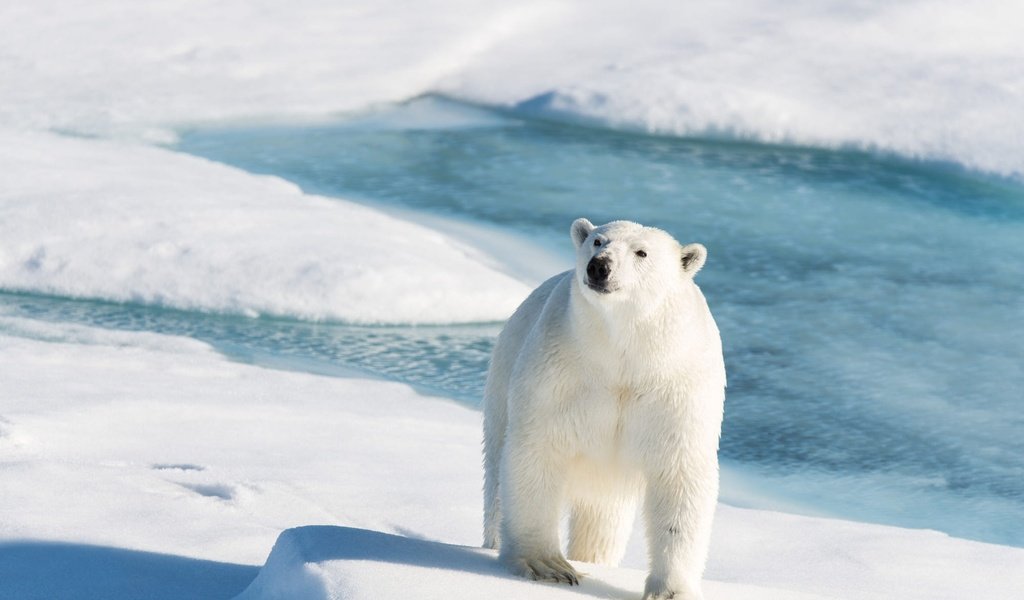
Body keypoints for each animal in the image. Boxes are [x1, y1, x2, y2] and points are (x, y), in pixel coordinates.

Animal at [483, 217, 724, 593]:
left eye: (641, 252)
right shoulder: (560, 370)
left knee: (602, 519)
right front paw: (547, 565)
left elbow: (679, 474)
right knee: (496, 481)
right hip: (501, 382)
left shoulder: (677, 387)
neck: (622, 352)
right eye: (597, 241)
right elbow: (538, 451)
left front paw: (669, 590)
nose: (600, 267)